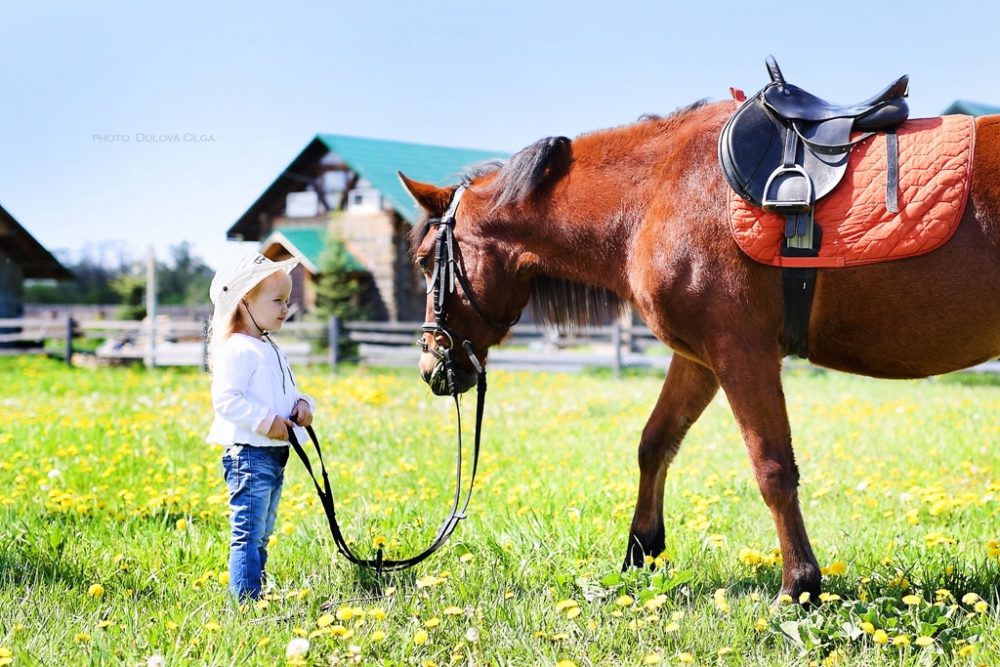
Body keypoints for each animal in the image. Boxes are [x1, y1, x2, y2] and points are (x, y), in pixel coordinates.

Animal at [396, 100, 1000, 600]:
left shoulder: (740, 351)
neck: (658, 193)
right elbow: (655, 443)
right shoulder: (698, 359)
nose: (430, 365)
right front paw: (642, 551)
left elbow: (772, 468)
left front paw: (799, 585)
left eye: (426, 261)